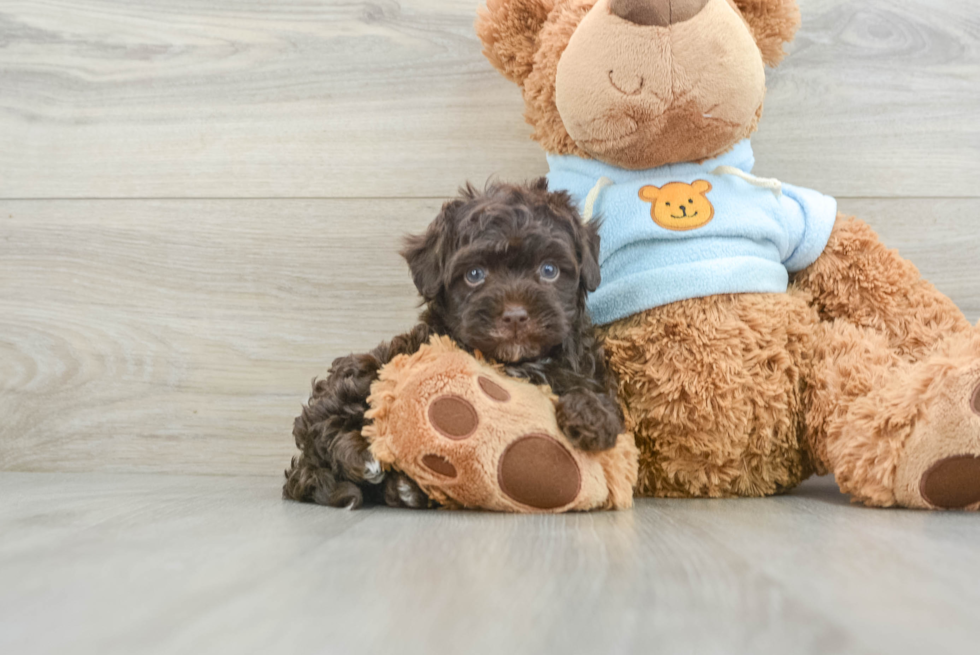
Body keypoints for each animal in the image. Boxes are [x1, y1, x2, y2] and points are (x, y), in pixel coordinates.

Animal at [284, 181, 620, 512]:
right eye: (474, 275)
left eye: (549, 270)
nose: (514, 315)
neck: (514, 362)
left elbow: (598, 392)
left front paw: (592, 414)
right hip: (365, 370)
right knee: (325, 421)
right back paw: (363, 457)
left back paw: (405, 490)